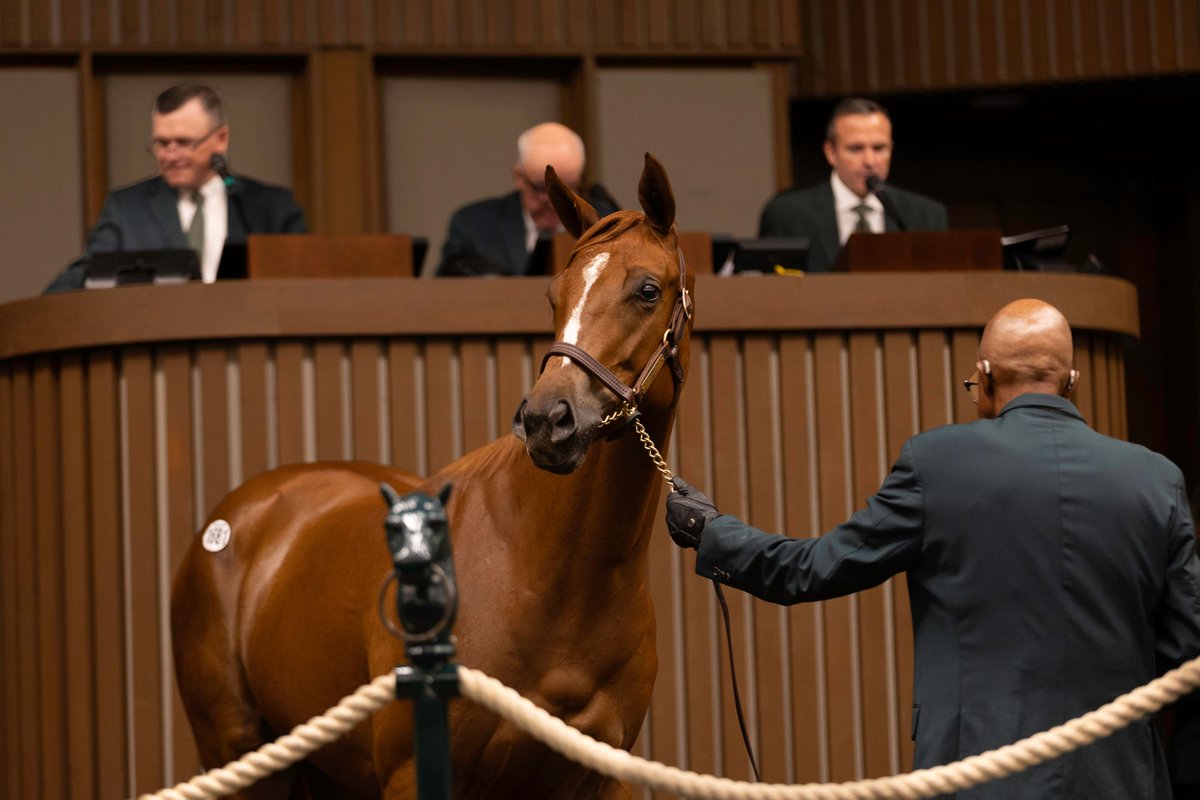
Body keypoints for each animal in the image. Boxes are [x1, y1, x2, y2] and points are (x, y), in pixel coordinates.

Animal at [170, 152, 695, 799]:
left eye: (648, 290)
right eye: (554, 295)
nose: (547, 420)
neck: (554, 578)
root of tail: (237, 514)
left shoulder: (607, 777)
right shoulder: (415, 773)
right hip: (237, 755)